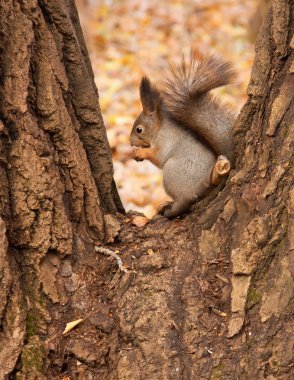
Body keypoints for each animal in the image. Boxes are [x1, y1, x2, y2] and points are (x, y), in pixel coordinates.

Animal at [130, 54, 235, 218]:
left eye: (139, 130)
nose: (130, 142)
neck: (160, 129)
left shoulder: (166, 141)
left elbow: (158, 157)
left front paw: (140, 153)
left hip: (172, 173)